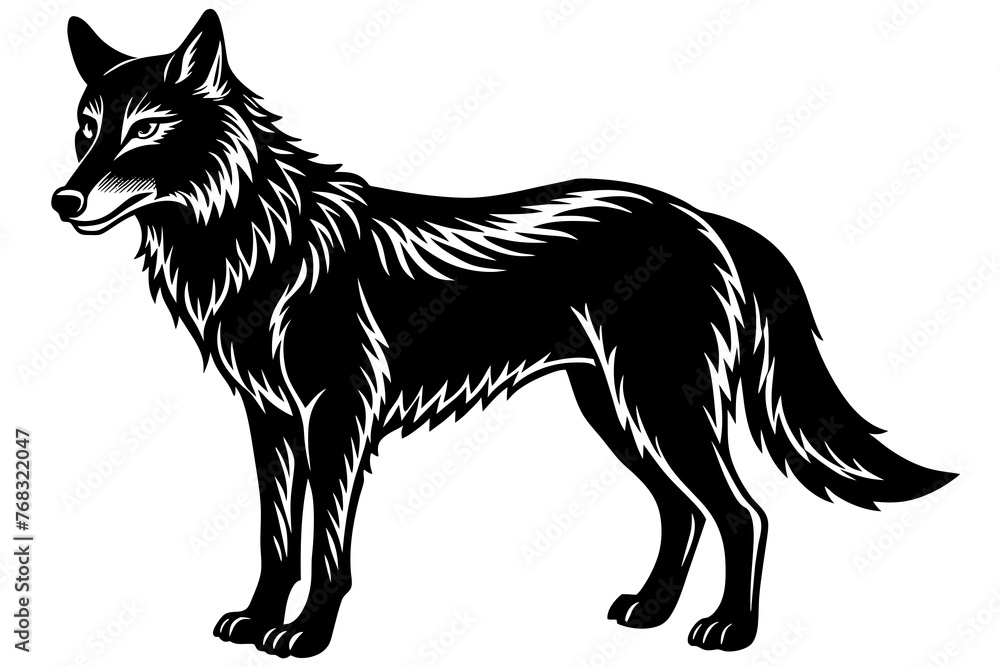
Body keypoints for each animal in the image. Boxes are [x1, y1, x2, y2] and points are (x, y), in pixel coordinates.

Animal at [52, 10, 955, 659]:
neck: (254, 238)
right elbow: (279, 542)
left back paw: (731, 629)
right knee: (685, 511)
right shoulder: (271, 421)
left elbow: (327, 548)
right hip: (618, 411)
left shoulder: (336, 420)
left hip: (661, 407)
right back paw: (650, 609)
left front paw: (306, 635)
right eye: (86, 130)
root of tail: (704, 218)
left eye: (144, 130)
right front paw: (256, 617)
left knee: (742, 513)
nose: (63, 200)